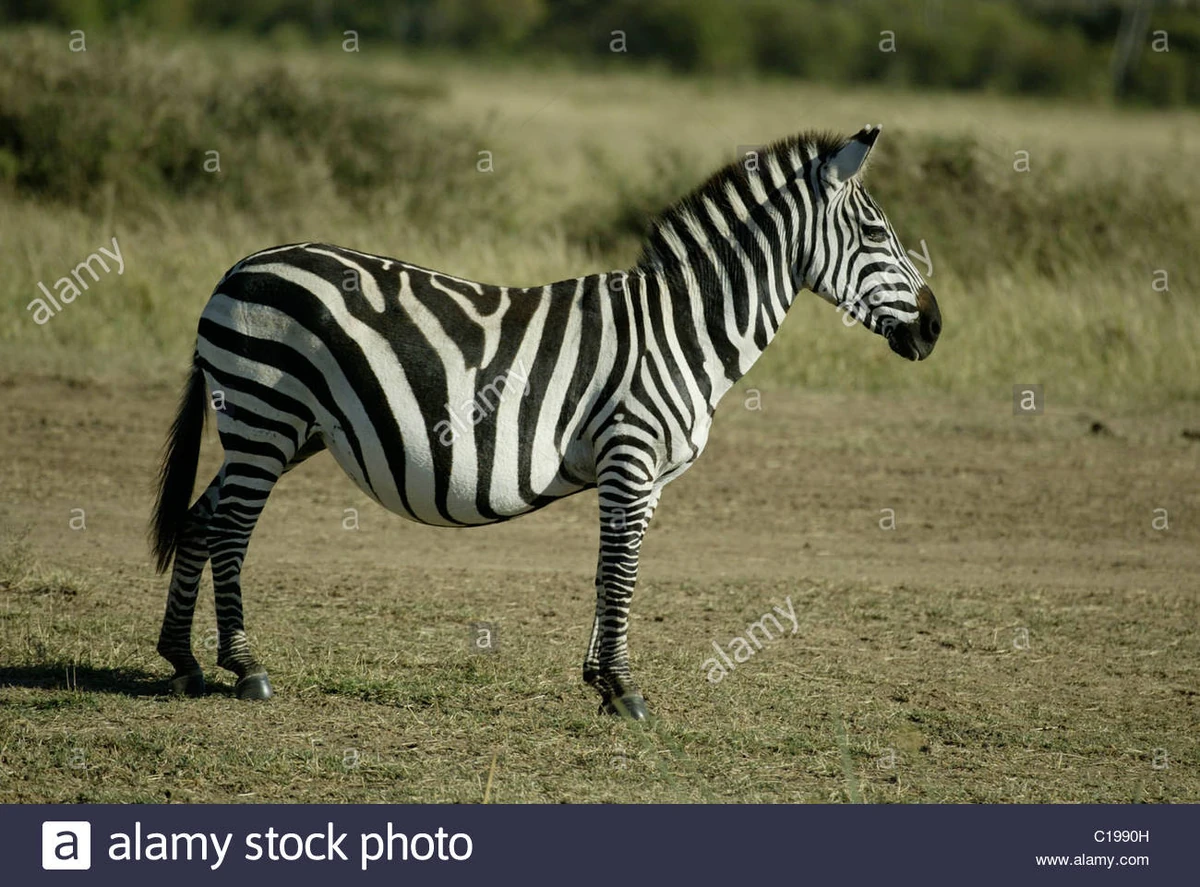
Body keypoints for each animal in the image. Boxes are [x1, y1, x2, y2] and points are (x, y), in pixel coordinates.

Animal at [151, 124, 940, 720]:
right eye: (877, 233)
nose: (934, 329)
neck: (683, 329)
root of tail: (239, 267)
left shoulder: (647, 476)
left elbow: (611, 570)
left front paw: (601, 681)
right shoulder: (630, 453)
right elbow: (621, 571)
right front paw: (623, 690)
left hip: (279, 427)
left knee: (201, 516)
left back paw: (182, 659)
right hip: (265, 413)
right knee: (230, 528)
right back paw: (244, 666)